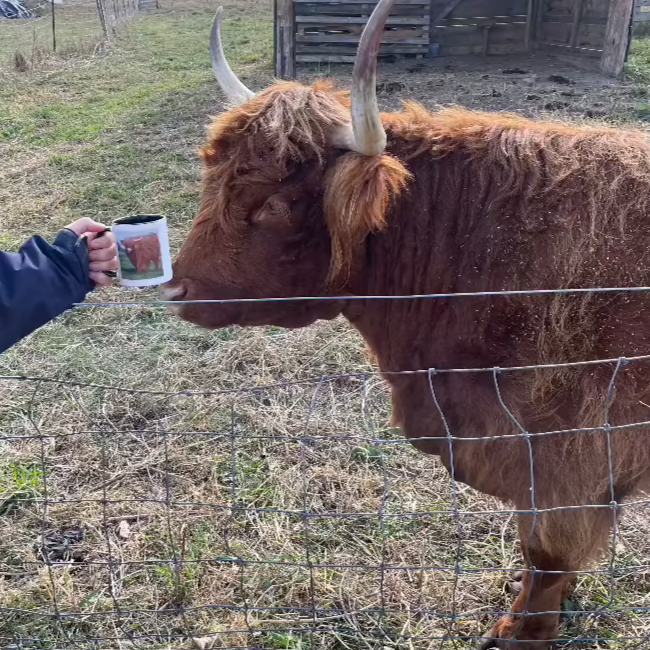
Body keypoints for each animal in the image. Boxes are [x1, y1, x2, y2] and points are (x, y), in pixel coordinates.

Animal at [163, 2, 648, 644]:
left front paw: (524, 633)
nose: (176, 289)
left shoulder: (574, 455)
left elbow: (545, 558)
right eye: (211, 181)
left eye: (273, 205)